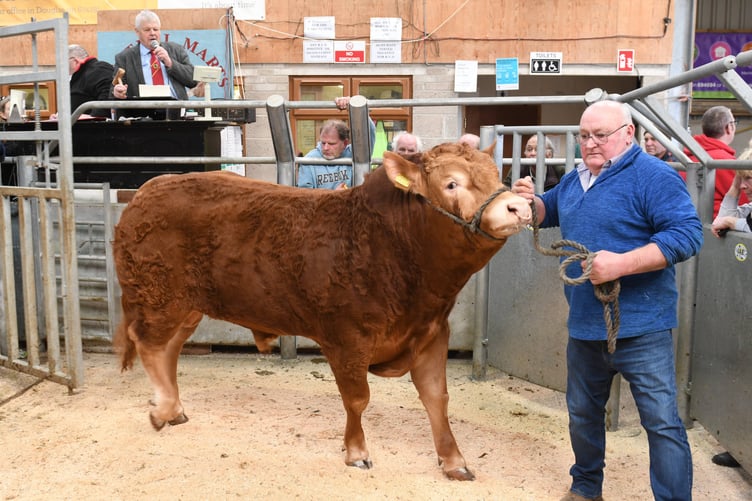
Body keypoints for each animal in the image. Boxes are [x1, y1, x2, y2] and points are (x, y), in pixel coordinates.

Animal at [112, 142, 532, 480]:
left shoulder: (431, 332)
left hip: (186, 307)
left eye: (496, 174)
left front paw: (454, 461)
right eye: (451, 184)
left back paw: (173, 408)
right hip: (157, 296)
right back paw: (164, 408)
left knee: (168, 350)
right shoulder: (347, 338)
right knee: (149, 345)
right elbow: (357, 398)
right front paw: (357, 452)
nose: (519, 205)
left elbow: (436, 398)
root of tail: (148, 190)